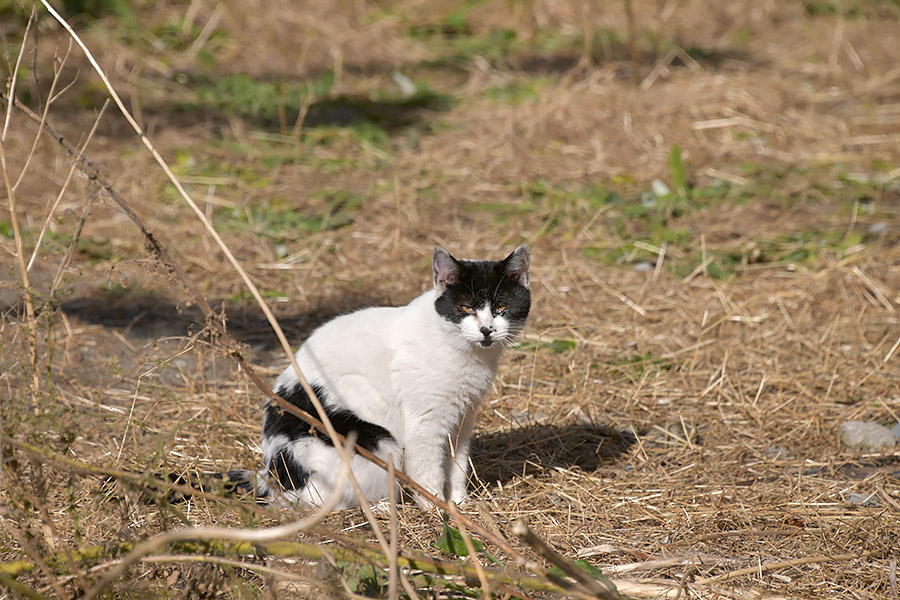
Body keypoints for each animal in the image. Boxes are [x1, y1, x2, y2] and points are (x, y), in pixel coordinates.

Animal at [232, 246, 532, 508]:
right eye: (466, 308)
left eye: (501, 307)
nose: (486, 330)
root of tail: (272, 479)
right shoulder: (424, 424)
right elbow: (428, 471)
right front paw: (437, 508)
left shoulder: (463, 418)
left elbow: (457, 465)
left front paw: (459, 502)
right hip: (378, 442)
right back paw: (383, 507)